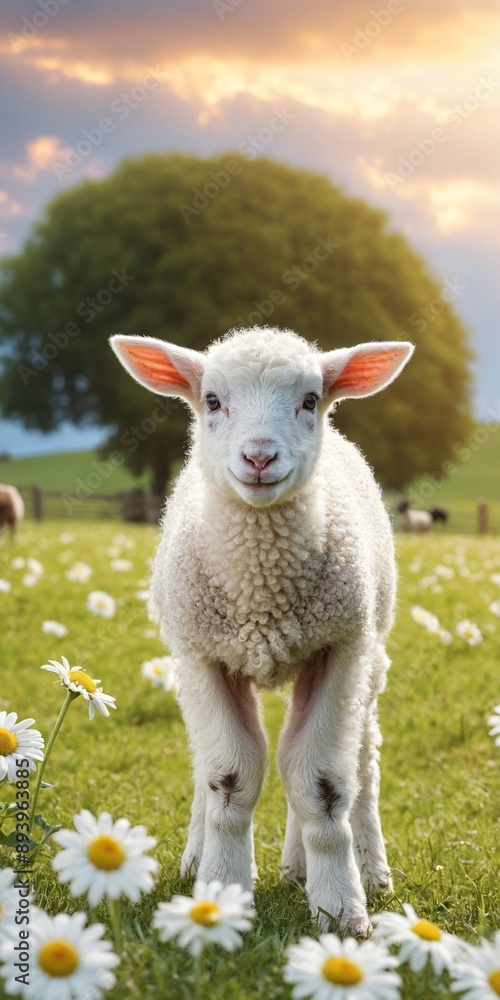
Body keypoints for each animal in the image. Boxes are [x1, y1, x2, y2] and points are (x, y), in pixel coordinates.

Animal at [110, 326, 414, 938]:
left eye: (310, 401)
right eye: (212, 401)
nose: (258, 456)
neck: (262, 591)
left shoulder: (339, 648)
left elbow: (321, 783)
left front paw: (342, 910)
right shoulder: (202, 656)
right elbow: (229, 777)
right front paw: (220, 892)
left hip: (369, 660)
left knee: (359, 763)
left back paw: (359, 868)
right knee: (208, 767)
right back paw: (199, 857)